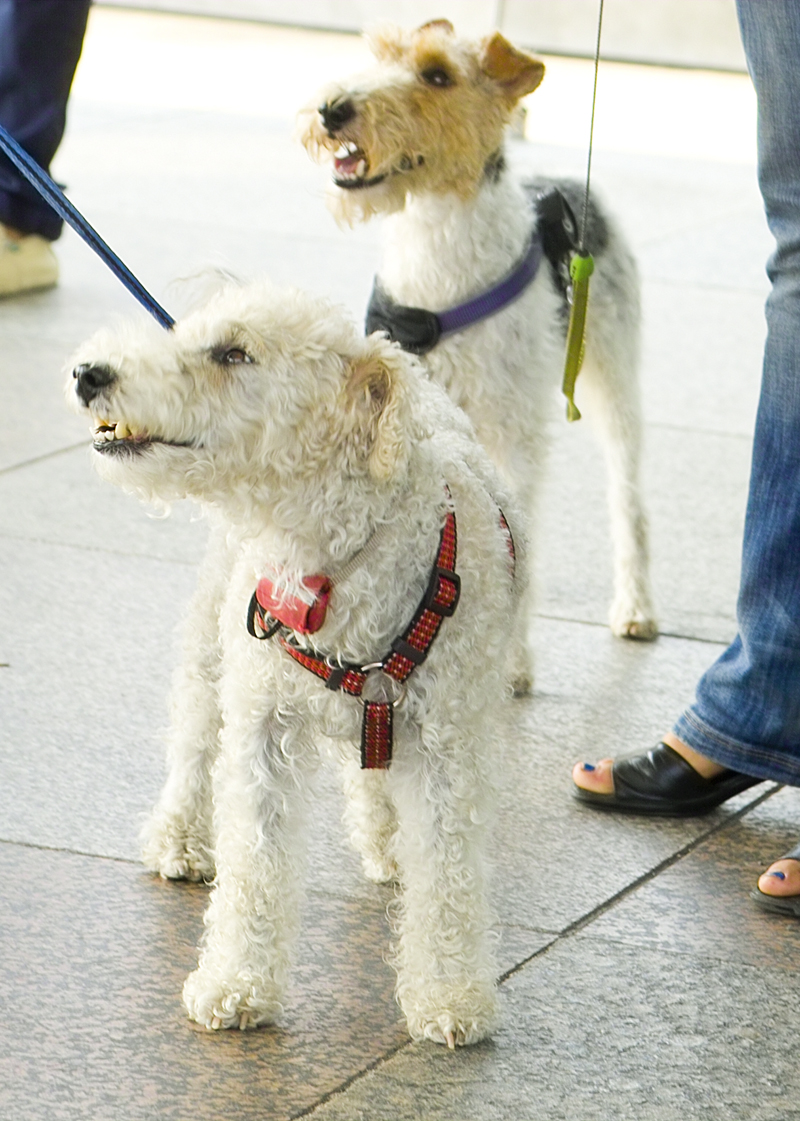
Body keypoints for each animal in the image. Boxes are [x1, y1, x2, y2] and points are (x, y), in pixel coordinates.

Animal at [66, 275, 524, 1044]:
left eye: (234, 353)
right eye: (188, 332)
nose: (88, 373)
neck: (329, 560)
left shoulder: (447, 741)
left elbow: (448, 873)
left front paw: (449, 995)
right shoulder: (262, 727)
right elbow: (254, 861)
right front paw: (234, 983)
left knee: (373, 772)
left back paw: (386, 841)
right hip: (210, 644)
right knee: (195, 739)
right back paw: (180, 839)